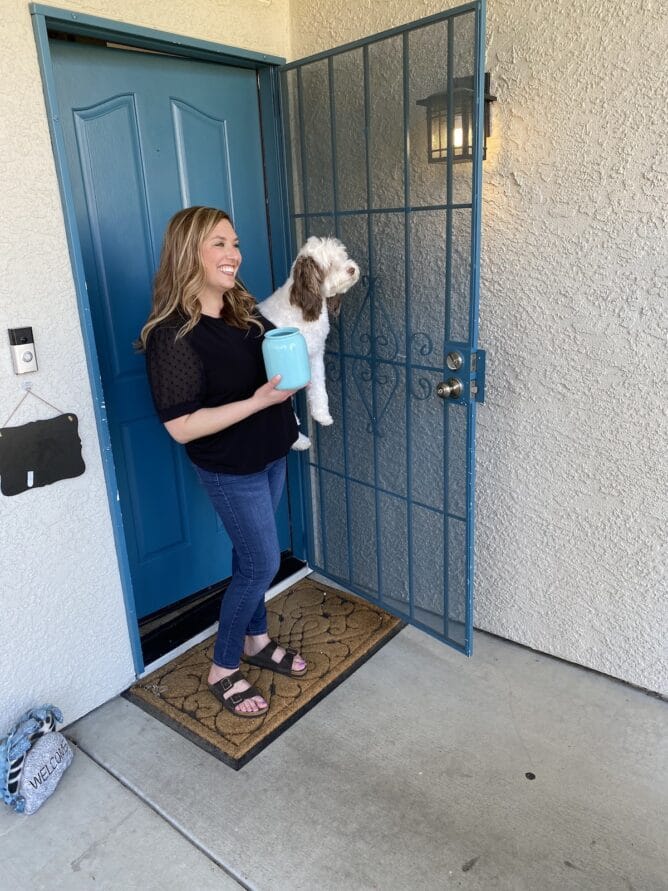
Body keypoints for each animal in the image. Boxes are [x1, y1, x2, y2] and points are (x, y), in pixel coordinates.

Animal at [258, 237, 360, 450]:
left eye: (343, 257)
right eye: (329, 265)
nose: (352, 269)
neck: (301, 308)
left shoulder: (314, 356)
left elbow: (319, 388)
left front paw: (322, 415)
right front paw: (297, 436)